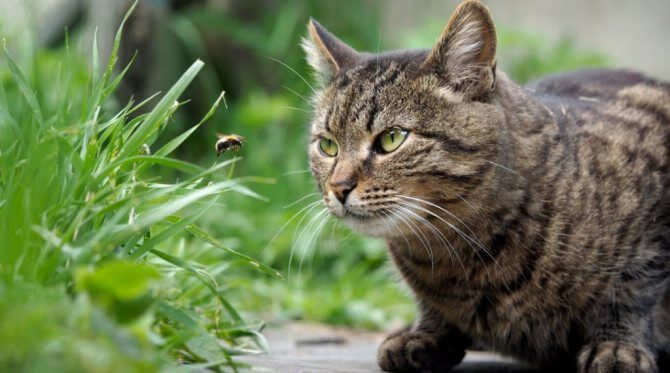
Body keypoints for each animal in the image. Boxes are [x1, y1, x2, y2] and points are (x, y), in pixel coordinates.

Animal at [306, 0, 670, 372]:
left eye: (391, 138)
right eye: (328, 145)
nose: (338, 187)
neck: (456, 254)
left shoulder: (652, 230)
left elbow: (632, 292)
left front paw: (618, 347)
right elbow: (429, 306)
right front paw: (426, 333)